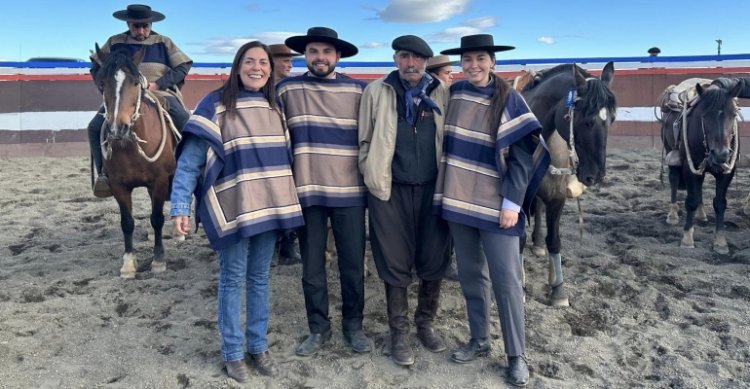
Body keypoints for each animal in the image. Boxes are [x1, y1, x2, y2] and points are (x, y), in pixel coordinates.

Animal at [91, 44, 178, 276]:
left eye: (136, 83)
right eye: (102, 84)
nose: (117, 128)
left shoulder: (159, 181)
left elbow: (157, 218)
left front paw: (158, 260)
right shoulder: (118, 186)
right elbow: (127, 222)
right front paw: (129, 263)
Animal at [520, 62, 620, 306]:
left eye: (611, 120)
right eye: (587, 120)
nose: (595, 175)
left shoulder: (556, 197)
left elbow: (555, 240)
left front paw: (558, 290)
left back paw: (538, 246)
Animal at [660, 80, 744, 253]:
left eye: (733, 114)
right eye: (704, 115)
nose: (720, 154)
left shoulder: (727, 172)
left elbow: (720, 203)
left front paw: (720, 242)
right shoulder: (689, 168)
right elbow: (691, 200)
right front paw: (687, 239)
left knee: (699, 186)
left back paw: (701, 214)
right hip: (671, 153)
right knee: (674, 181)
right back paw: (673, 215)